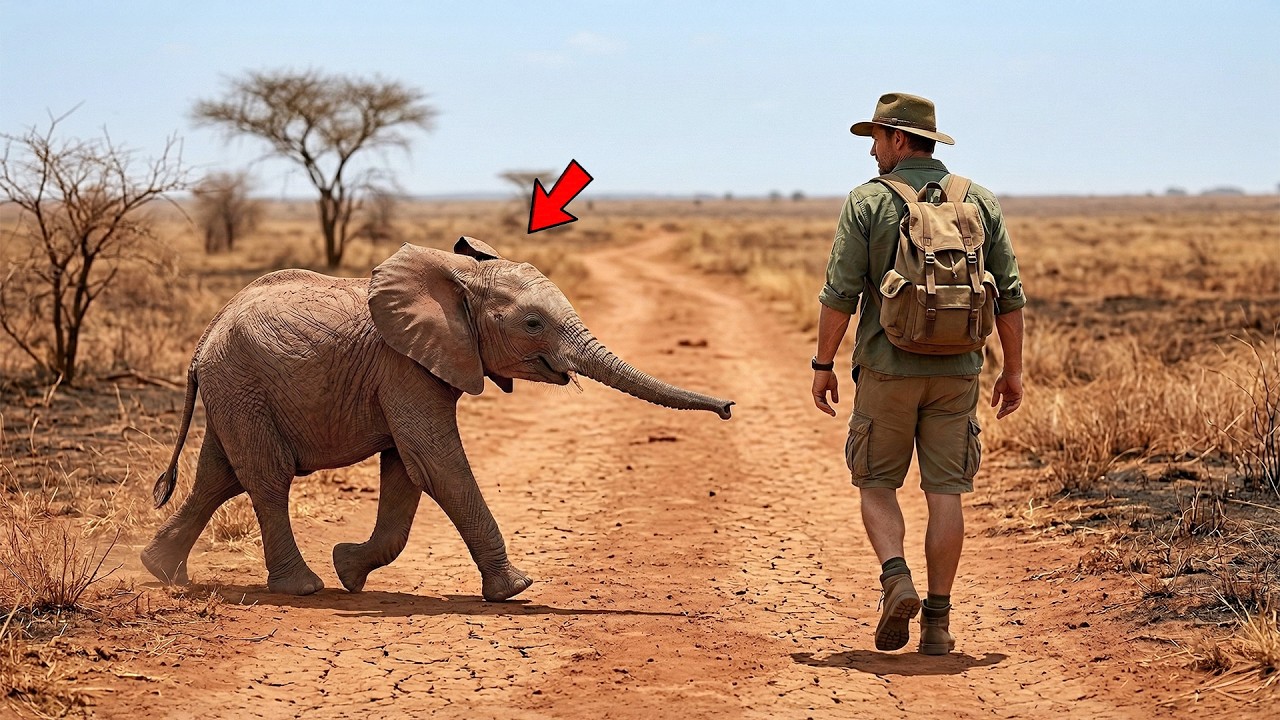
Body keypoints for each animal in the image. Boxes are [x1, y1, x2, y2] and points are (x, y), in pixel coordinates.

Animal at [141, 237, 733, 601]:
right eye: (533, 323)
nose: (728, 408)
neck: (463, 278)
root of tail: (203, 341)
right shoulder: (404, 365)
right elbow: (436, 462)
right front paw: (516, 589)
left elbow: (406, 472)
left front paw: (349, 568)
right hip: (242, 384)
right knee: (265, 477)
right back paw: (302, 588)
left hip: (236, 389)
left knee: (219, 476)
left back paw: (161, 571)